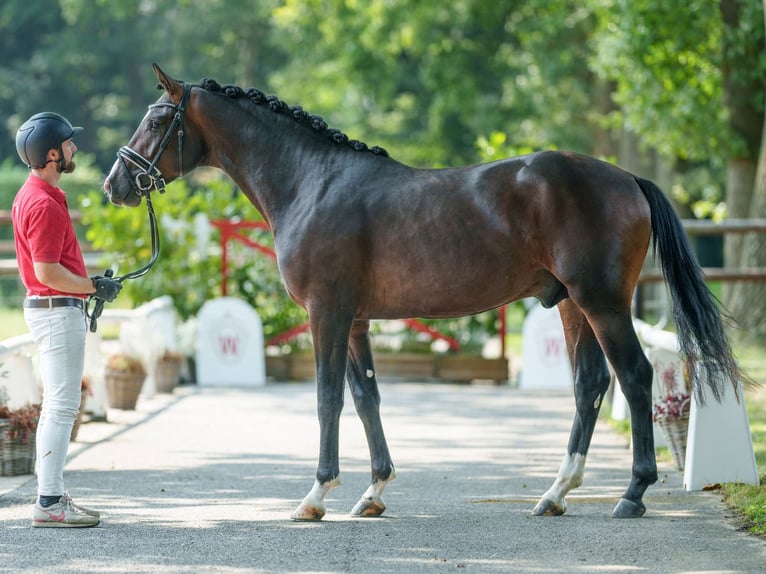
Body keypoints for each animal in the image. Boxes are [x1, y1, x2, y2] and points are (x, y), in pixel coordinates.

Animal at [103, 65, 744, 524]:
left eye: (157, 121)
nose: (114, 184)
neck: (312, 183)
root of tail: (625, 178)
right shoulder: (356, 320)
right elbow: (366, 398)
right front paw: (373, 491)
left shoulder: (327, 314)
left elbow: (327, 399)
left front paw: (316, 496)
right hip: (571, 306)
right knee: (590, 385)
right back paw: (555, 494)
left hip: (603, 303)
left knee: (635, 378)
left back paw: (632, 494)